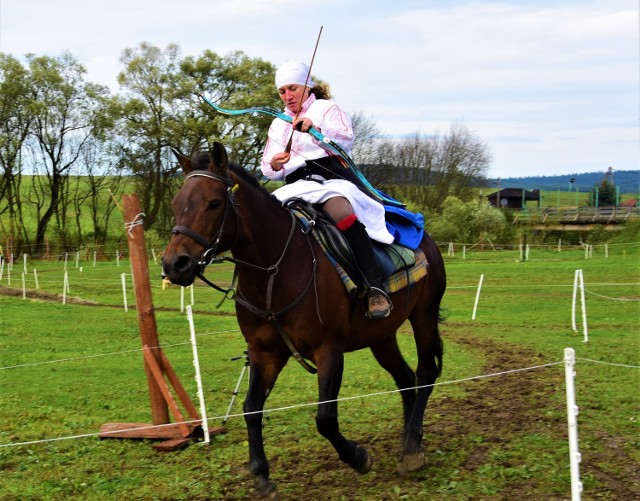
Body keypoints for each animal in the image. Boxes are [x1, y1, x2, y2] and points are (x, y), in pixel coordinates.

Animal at [162, 143, 448, 498]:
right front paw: (262, 476)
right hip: (381, 336)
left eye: (213, 203)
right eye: (176, 204)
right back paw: (410, 438)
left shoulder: (329, 351)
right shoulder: (264, 354)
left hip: (423, 317)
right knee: (406, 379)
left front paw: (358, 457)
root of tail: (426, 240)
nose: (174, 264)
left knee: (425, 373)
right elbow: (251, 408)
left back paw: (412, 448)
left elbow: (325, 418)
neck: (276, 271)